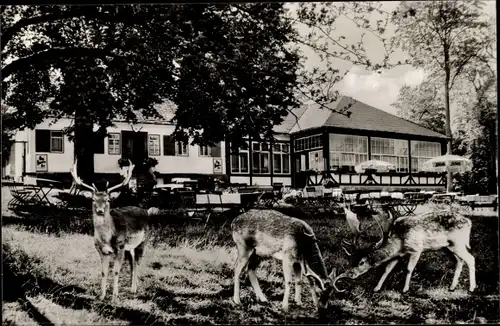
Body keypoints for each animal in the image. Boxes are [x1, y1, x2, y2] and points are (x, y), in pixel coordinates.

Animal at [70, 160, 150, 304]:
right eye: (93, 199)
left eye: (108, 200)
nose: (100, 210)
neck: (106, 238)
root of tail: (145, 211)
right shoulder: (101, 250)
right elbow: (104, 272)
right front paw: (101, 296)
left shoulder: (120, 247)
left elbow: (116, 271)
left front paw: (114, 297)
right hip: (129, 247)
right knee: (132, 263)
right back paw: (130, 287)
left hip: (142, 241)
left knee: (137, 262)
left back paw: (134, 289)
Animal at [334, 209, 474, 296]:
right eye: (350, 260)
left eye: (362, 262)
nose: (350, 274)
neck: (399, 242)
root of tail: (469, 222)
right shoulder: (397, 255)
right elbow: (387, 270)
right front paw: (376, 288)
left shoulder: (416, 248)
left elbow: (409, 269)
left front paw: (405, 289)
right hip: (448, 247)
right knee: (459, 261)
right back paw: (452, 287)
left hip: (457, 243)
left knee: (471, 258)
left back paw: (472, 288)